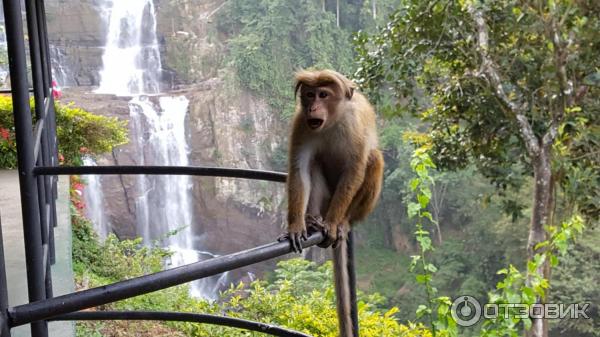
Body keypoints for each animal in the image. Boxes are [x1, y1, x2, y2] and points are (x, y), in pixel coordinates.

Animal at [282, 69, 384, 336]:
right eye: (309, 95)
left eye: (323, 95)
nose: (313, 107)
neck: (332, 121)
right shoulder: (302, 123)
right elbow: (299, 168)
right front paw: (296, 225)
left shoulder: (355, 125)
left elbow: (354, 170)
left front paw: (332, 224)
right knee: (314, 162)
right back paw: (313, 219)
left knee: (374, 159)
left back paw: (342, 221)